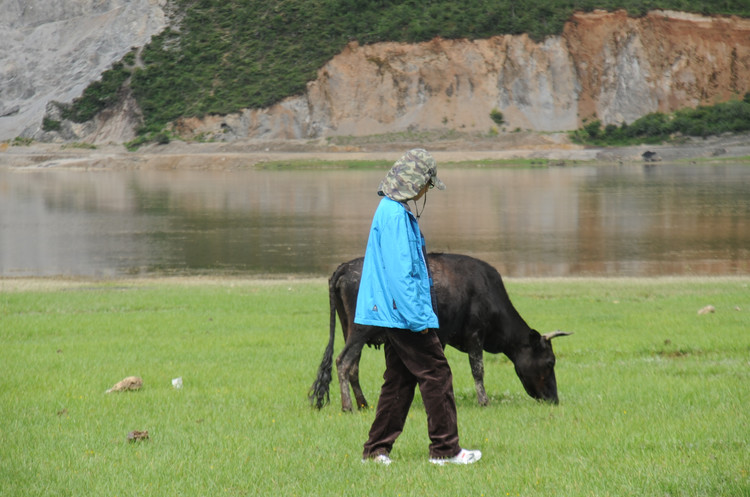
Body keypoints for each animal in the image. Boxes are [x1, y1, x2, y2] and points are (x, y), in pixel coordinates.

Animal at [308, 252, 572, 410]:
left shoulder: (441, 335)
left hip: (348, 327)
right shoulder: (475, 333)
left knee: (353, 366)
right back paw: (348, 407)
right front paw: (483, 401)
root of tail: (344, 267)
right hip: (360, 329)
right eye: (550, 362)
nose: (554, 399)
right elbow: (478, 370)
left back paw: (363, 404)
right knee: (343, 362)